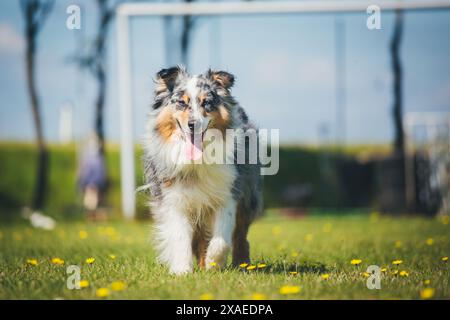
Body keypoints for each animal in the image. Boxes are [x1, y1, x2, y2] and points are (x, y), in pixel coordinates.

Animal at [142, 65, 264, 276]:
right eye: (181, 103)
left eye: (206, 103)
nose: (192, 124)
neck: (197, 160)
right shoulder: (174, 199)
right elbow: (180, 237)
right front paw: (182, 271)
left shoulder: (227, 195)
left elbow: (221, 240)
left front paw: (214, 263)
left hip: (247, 197)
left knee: (240, 235)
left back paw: (241, 263)